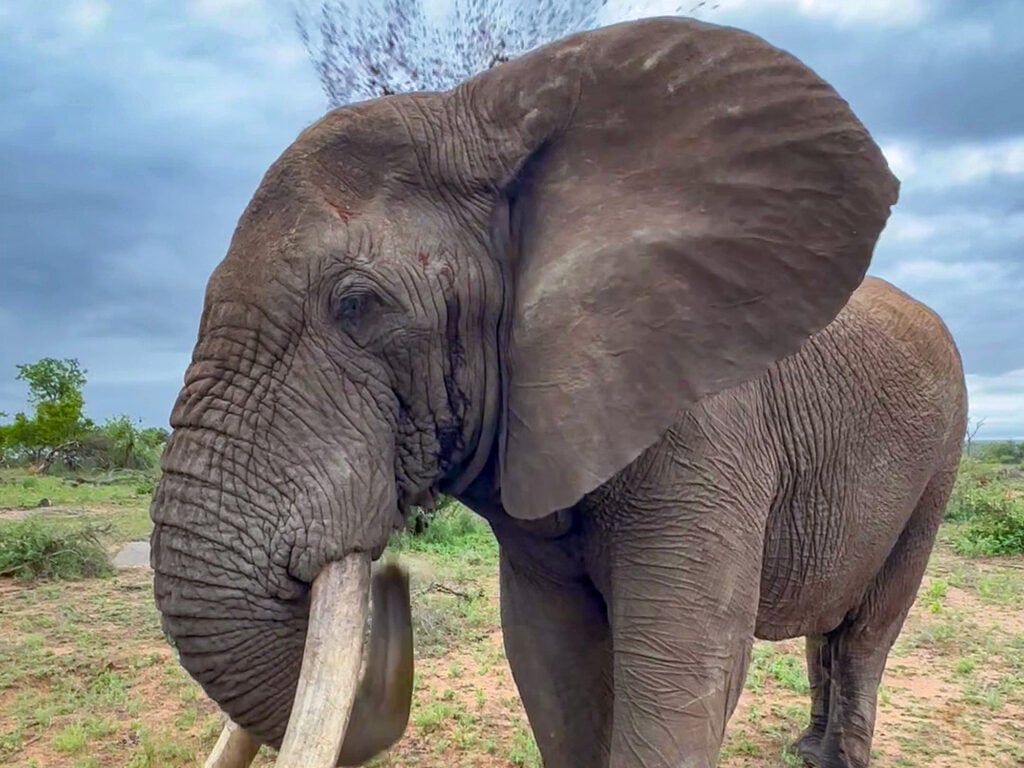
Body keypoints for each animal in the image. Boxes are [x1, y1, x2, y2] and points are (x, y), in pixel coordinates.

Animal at [149, 15, 968, 768]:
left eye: (358, 305)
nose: (394, 583)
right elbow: (552, 662)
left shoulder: (708, 430)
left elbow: (684, 675)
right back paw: (806, 748)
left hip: (941, 460)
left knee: (867, 630)